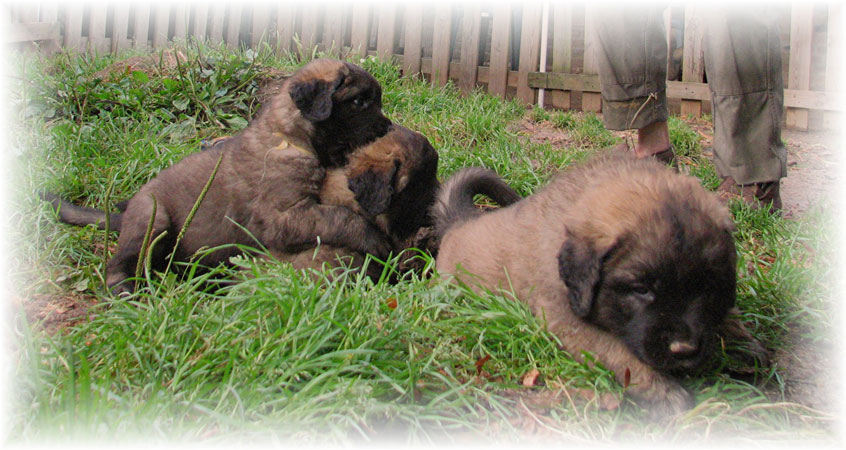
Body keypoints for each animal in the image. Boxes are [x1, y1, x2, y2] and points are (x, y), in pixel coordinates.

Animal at [43, 58, 394, 294]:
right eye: (360, 101)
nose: (388, 127)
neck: (289, 135)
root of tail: (126, 214)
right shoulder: (286, 216)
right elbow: (341, 218)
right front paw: (376, 241)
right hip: (152, 218)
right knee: (120, 264)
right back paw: (125, 291)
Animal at [434, 150, 772, 418]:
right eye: (641, 289)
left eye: (707, 286)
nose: (685, 350)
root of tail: (460, 221)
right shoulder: (569, 321)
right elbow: (622, 354)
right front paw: (663, 391)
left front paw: (741, 343)